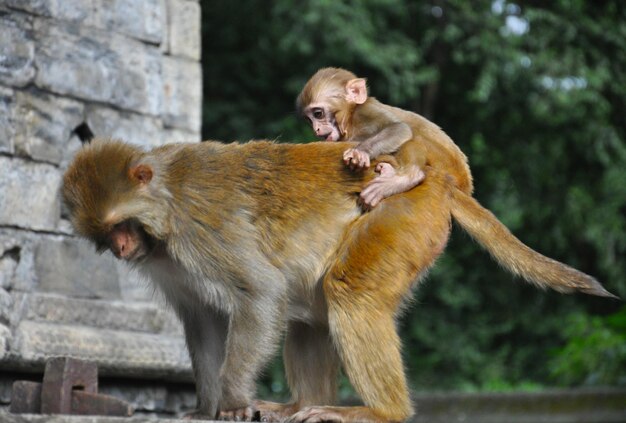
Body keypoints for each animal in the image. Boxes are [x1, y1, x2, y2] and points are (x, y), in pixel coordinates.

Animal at [64, 138, 616, 420]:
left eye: (120, 226)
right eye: (106, 235)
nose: (122, 248)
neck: (164, 207)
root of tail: (437, 181)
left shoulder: (202, 226)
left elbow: (259, 293)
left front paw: (233, 403)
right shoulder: (169, 262)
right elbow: (202, 321)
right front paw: (204, 409)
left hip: (400, 213)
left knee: (348, 293)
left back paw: (380, 411)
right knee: (309, 312)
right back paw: (302, 404)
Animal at [294, 67, 470, 208]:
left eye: (318, 113)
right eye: (309, 120)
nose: (316, 129)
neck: (350, 120)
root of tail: (465, 183)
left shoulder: (365, 110)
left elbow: (399, 128)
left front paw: (360, 152)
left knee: (414, 137)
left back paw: (408, 177)